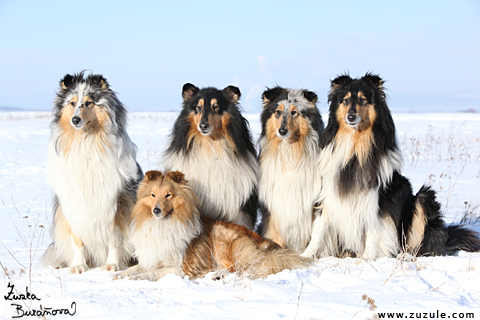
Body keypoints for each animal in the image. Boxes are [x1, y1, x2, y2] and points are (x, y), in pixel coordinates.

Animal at [115, 170, 312, 280]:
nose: (156, 211)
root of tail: (266, 245)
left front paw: (137, 278)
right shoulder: (151, 258)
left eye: (168, 195)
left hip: (224, 241)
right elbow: (134, 268)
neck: (164, 224)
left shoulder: (182, 267)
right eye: (153, 195)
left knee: (247, 269)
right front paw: (118, 275)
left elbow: (151, 273)